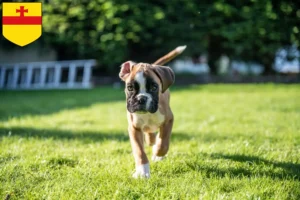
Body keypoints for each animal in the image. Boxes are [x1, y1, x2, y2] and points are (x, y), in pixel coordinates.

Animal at [119, 45, 185, 178]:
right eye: (130, 88)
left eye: (154, 87)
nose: (141, 98)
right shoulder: (134, 128)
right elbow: (139, 151)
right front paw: (142, 172)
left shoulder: (168, 120)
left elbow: (163, 143)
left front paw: (157, 153)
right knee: (149, 134)